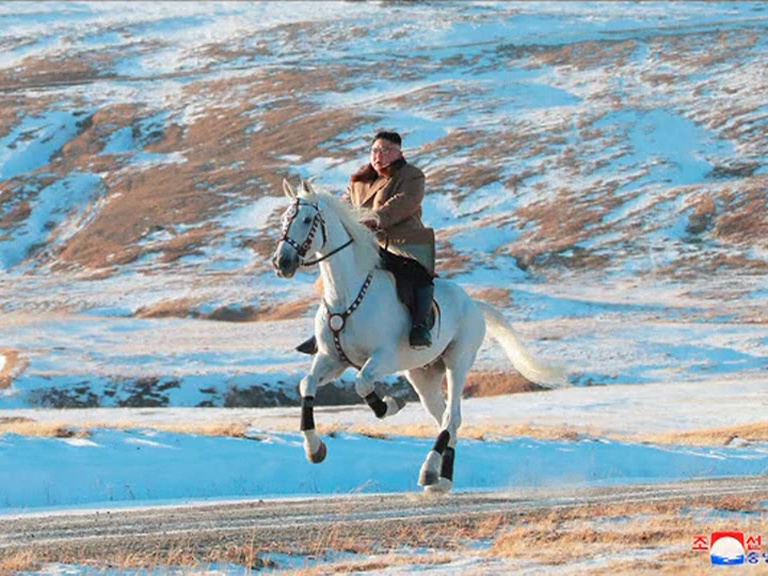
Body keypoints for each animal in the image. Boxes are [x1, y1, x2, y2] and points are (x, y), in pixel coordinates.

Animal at [270, 179, 564, 490]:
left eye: (307, 219)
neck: (347, 294)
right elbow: (307, 385)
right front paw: (314, 449)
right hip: (423, 375)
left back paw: (430, 471)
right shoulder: (332, 359)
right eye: (284, 220)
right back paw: (440, 478)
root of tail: (474, 304)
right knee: (445, 418)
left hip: (458, 362)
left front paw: (388, 405)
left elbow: (362, 383)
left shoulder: (383, 357)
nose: (281, 262)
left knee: (451, 416)